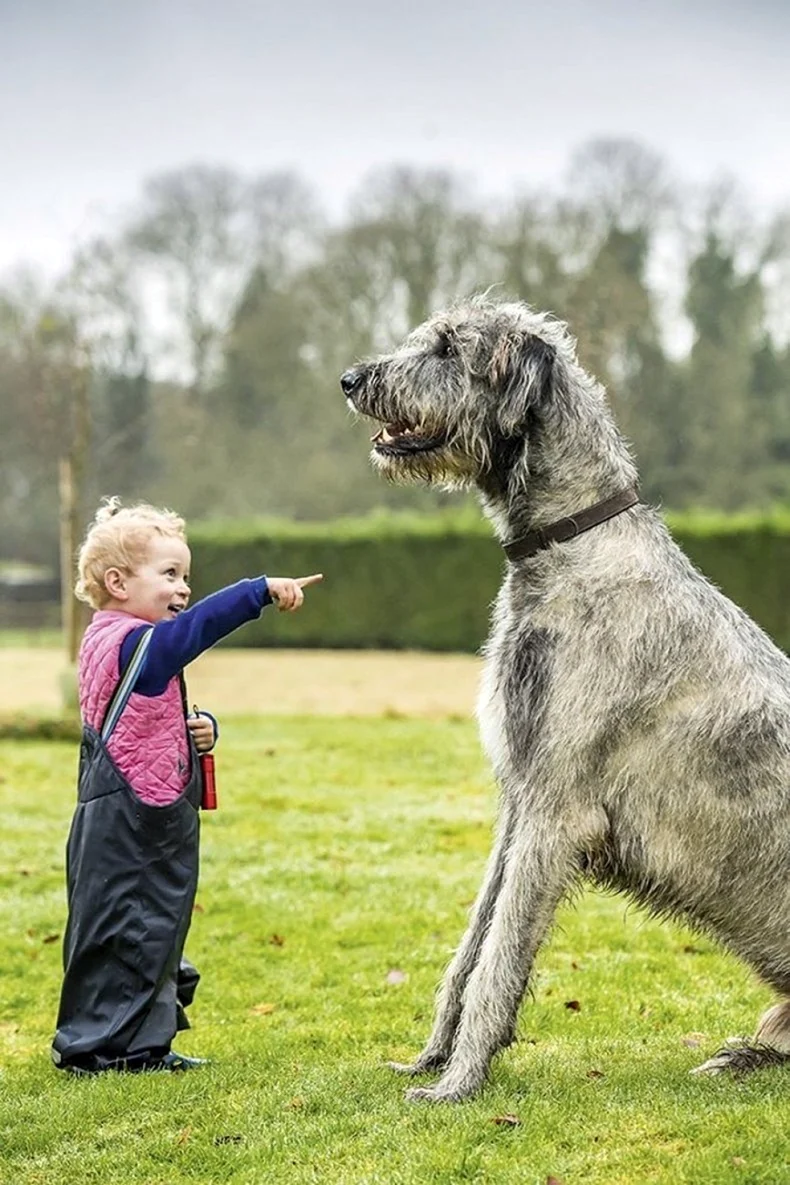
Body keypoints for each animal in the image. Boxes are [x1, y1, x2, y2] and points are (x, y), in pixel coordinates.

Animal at [341, 296, 790, 1099]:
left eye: (449, 348)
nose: (351, 379)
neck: (571, 543)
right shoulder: (519, 800)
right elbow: (472, 946)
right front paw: (431, 1059)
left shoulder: (556, 807)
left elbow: (498, 958)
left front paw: (457, 1084)